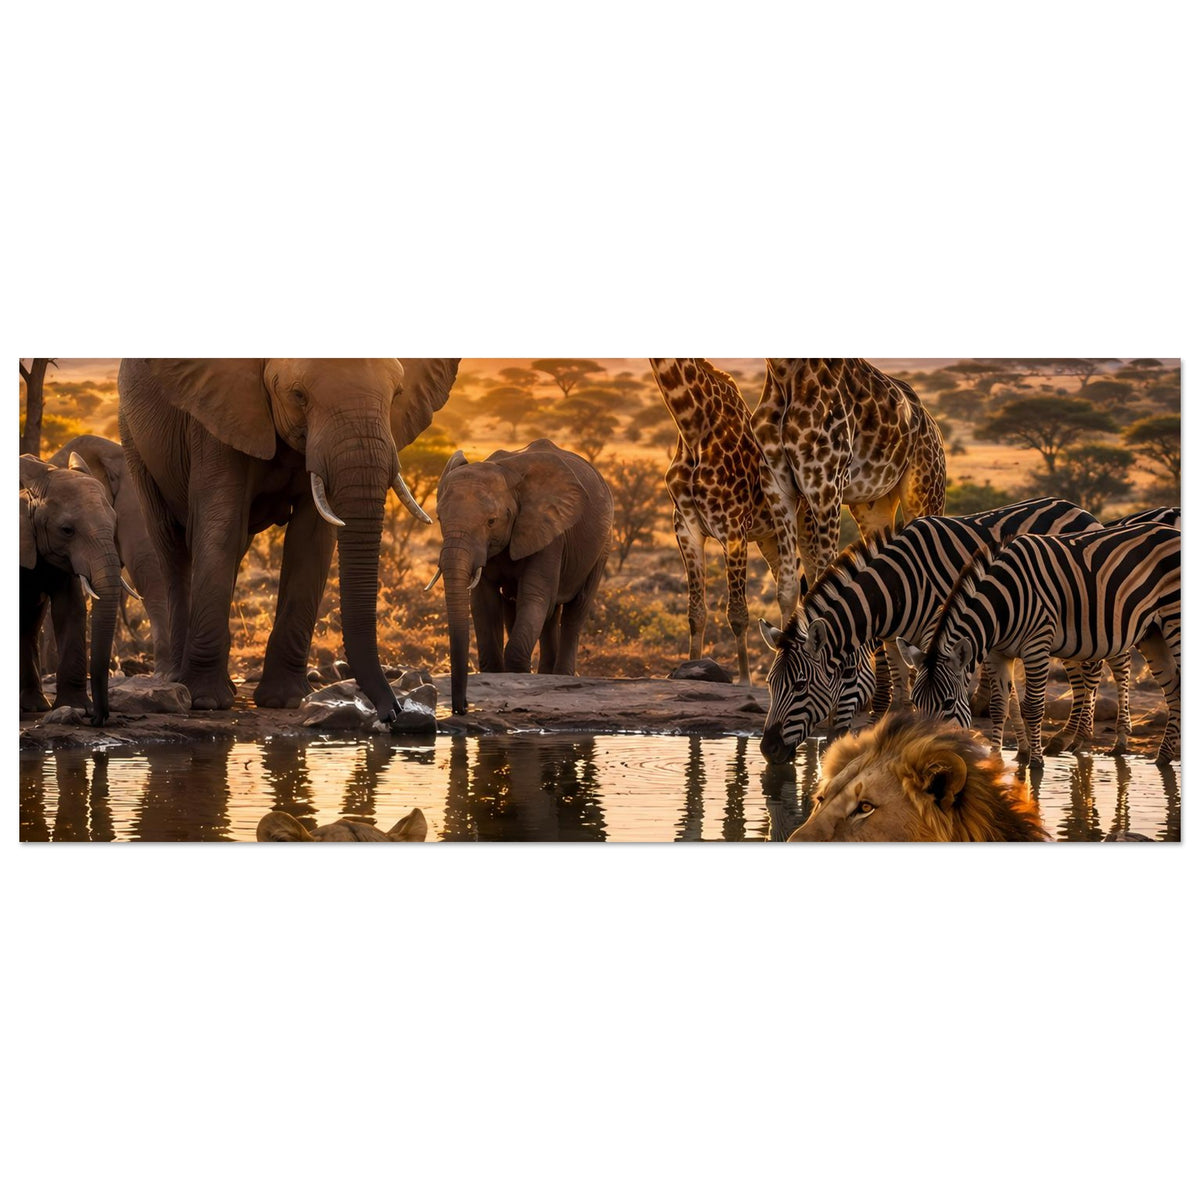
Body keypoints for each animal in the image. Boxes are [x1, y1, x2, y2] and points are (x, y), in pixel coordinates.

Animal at [758, 498, 1104, 763]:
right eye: (770, 684)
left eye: (801, 685)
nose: (768, 749)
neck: (897, 587)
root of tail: (1078, 508)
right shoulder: (895, 640)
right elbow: (901, 695)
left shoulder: (938, 633)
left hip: (1077, 615)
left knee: (1090, 671)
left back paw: (1075, 739)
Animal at [902, 522, 1181, 766]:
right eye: (915, 703)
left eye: (948, 703)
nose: (922, 755)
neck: (1001, 603)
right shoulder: (997, 653)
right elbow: (998, 706)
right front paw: (996, 761)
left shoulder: (1037, 646)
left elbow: (1034, 707)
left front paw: (1036, 763)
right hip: (1152, 633)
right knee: (1174, 687)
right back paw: (1163, 758)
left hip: (1173, 620)